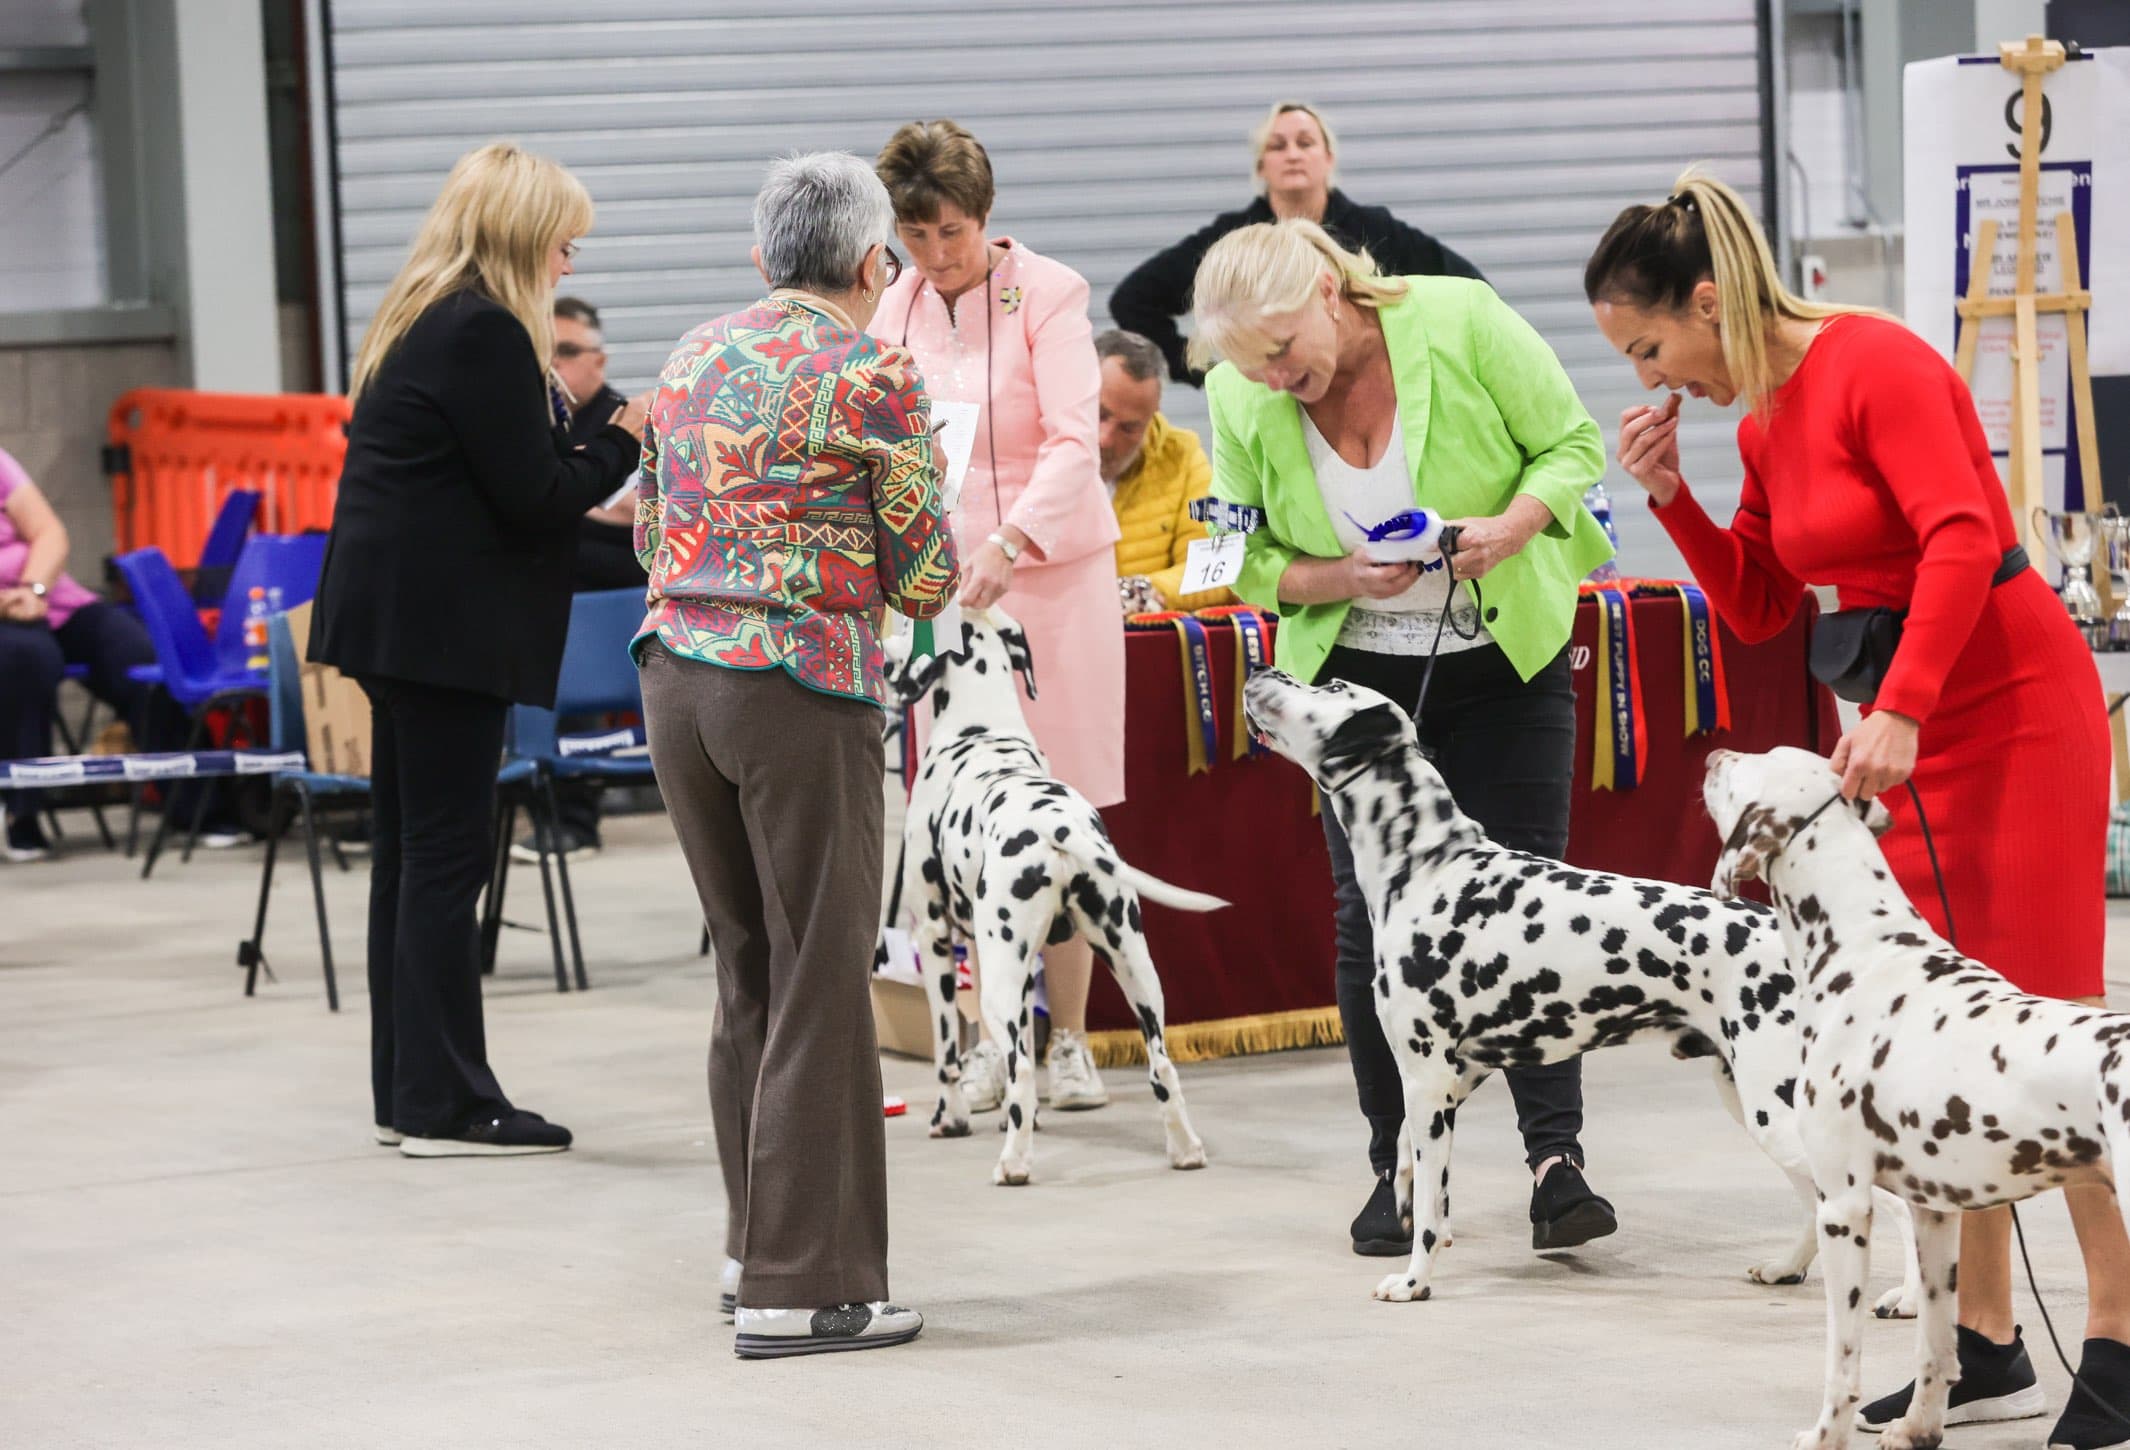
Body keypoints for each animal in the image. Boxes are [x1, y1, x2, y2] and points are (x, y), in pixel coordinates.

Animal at [881, 604, 1218, 1183]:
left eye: (905, 628)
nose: (882, 660)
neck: (981, 724)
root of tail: (1057, 827)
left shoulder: (935, 938)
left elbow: (947, 1052)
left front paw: (951, 1119)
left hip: (997, 980)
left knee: (1020, 1071)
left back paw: (1013, 1163)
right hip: (1135, 967)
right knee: (1162, 1067)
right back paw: (1185, 1149)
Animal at [1243, 668, 1925, 1311]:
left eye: (1331, 684)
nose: (1262, 670)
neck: (1429, 869)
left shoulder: (1428, 1078)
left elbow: (1432, 1216)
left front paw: (1414, 1282)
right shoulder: (1452, 1079)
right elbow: (1418, 1177)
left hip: (1779, 1112)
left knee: (1899, 1209)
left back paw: (1908, 1301)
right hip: (1759, 1107)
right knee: (1817, 1202)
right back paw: (1787, 1268)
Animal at [1704, 745, 2130, 1447]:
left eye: (1756, 762)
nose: (1714, 753)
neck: (1864, 955)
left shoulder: (1844, 1206)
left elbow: (1842, 1356)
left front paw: (1824, 1435)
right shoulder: (1936, 1212)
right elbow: (1935, 1343)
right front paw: (1917, 1427)